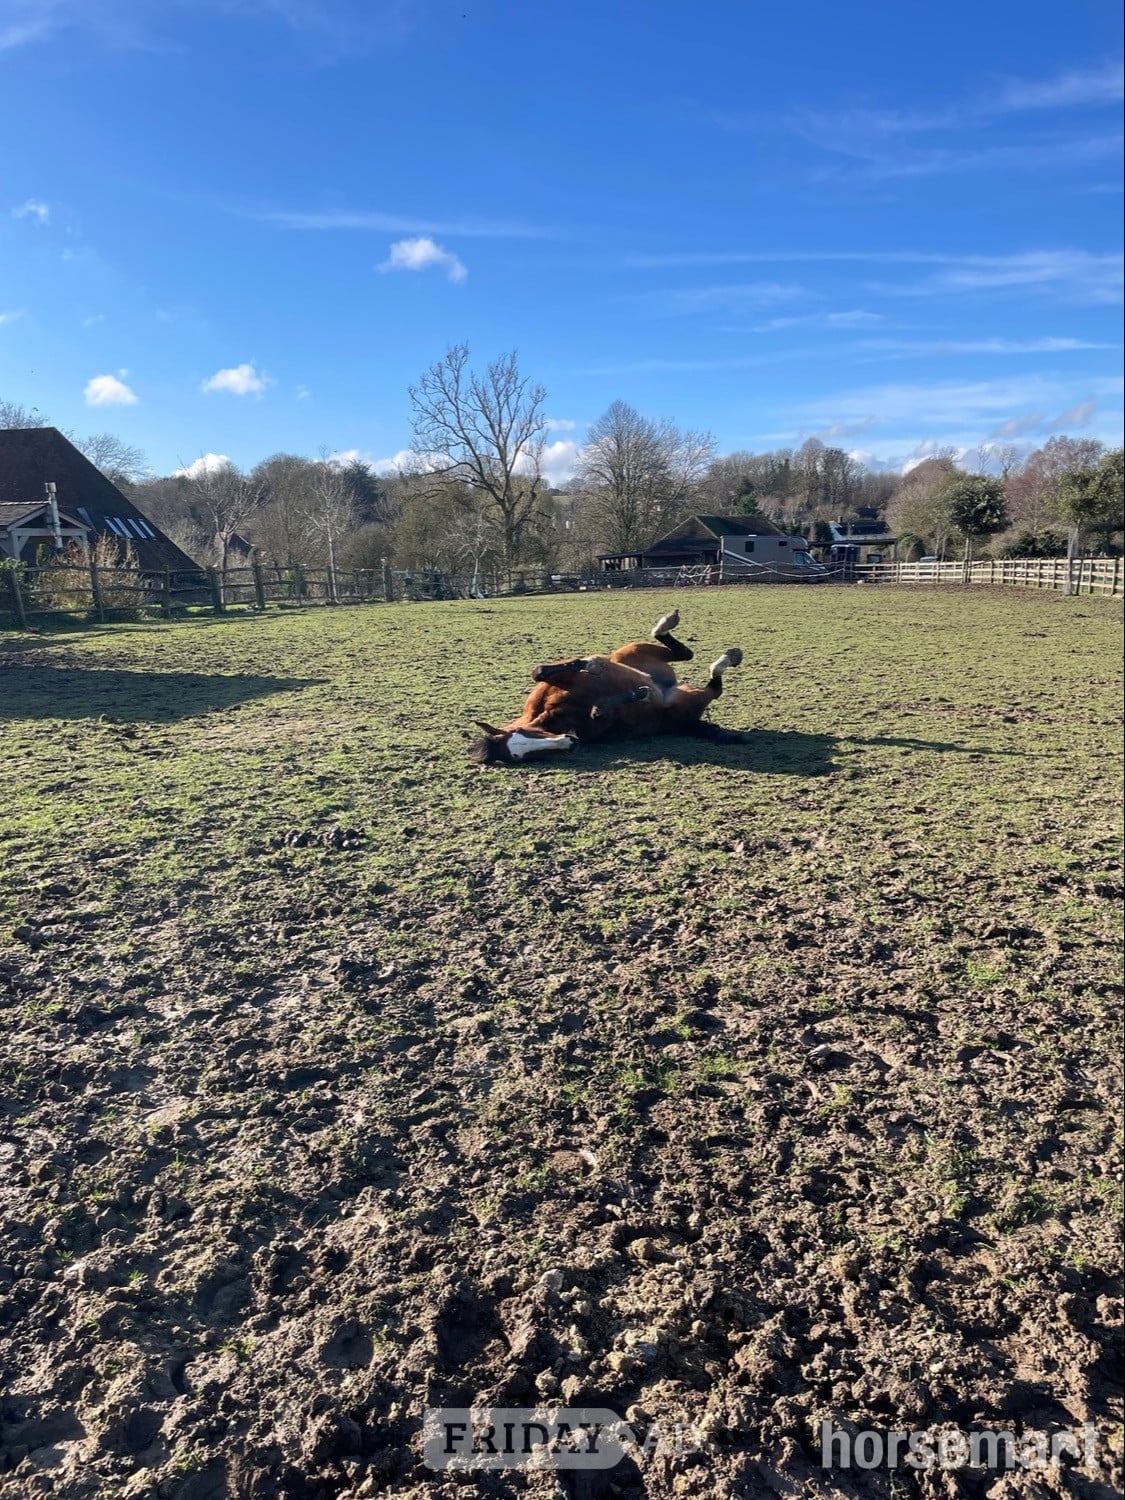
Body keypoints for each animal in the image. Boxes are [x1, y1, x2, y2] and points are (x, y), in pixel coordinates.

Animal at [469, 610, 744, 765]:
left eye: (522, 733)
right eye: (520, 756)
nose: (571, 742)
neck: (553, 714)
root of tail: (670, 686)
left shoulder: (561, 681)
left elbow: (540, 671)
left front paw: (593, 665)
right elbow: (600, 711)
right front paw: (637, 693)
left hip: (629, 652)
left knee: (684, 654)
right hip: (686, 701)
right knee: (712, 683)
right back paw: (724, 660)